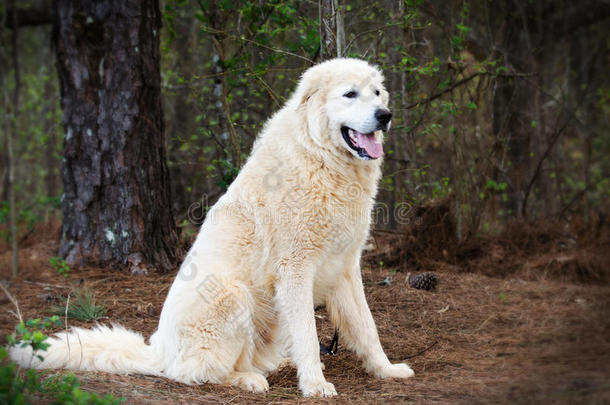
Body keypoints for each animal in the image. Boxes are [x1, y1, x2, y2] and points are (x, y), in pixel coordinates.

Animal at [11, 58, 414, 396]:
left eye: (377, 93)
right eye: (350, 94)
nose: (385, 115)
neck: (322, 159)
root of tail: (157, 351)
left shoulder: (345, 267)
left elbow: (367, 327)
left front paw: (387, 370)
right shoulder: (296, 270)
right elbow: (309, 335)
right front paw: (315, 385)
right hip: (232, 294)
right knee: (198, 372)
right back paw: (248, 380)